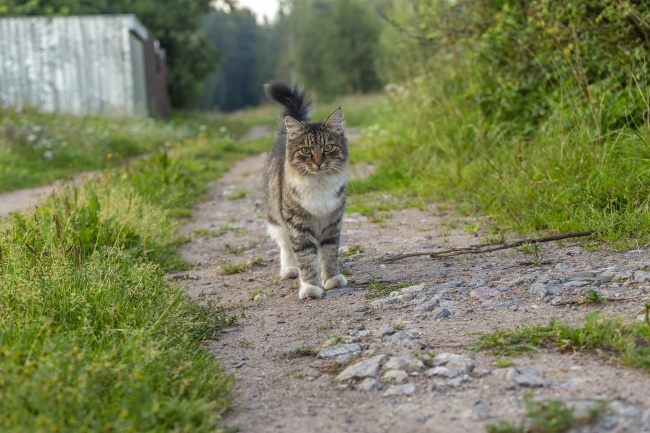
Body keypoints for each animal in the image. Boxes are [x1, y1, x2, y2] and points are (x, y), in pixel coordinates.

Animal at [260, 80, 346, 296]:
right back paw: (290, 269)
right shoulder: (297, 223)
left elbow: (329, 252)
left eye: (328, 148)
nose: (318, 163)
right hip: (276, 217)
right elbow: (306, 257)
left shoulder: (332, 220)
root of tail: (285, 133)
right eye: (306, 150)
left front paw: (331, 278)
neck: (319, 184)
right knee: (285, 245)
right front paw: (310, 287)